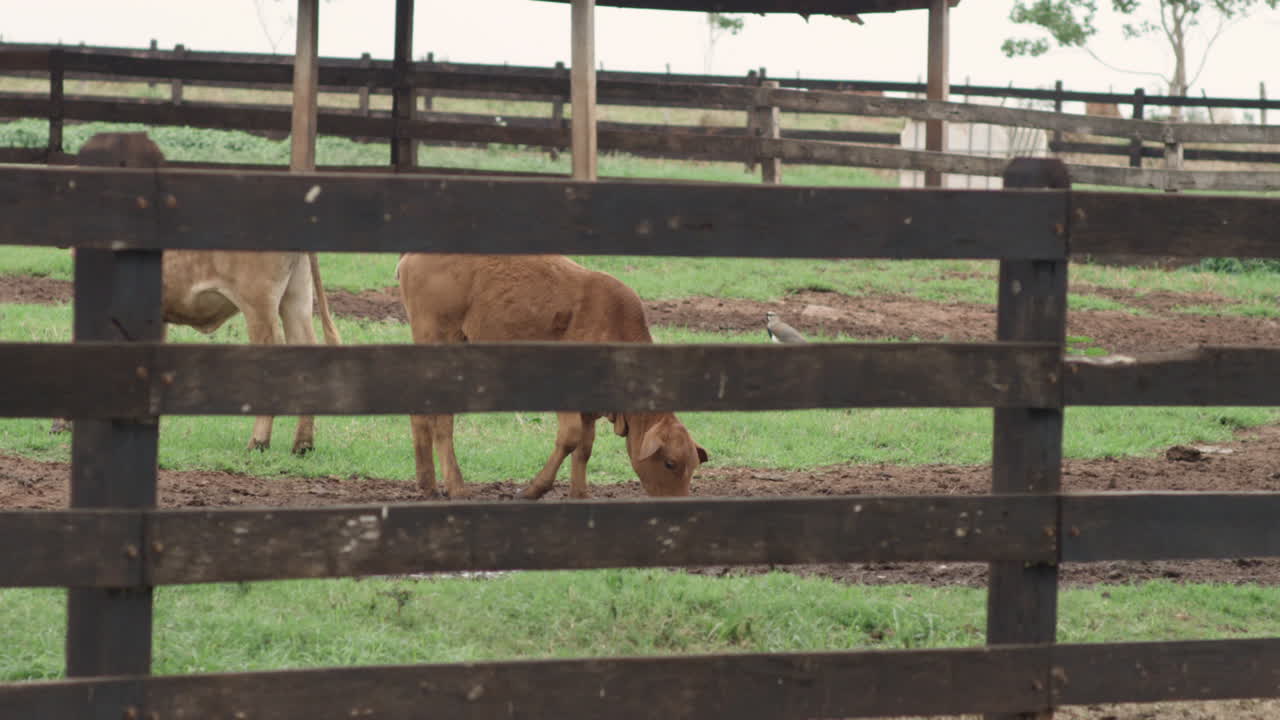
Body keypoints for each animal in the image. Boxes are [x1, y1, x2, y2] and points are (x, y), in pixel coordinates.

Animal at [395, 254, 708, 500]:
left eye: (693, 467)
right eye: (670, 463)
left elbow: (584, 447)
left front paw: (580, 495)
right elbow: (570, 439)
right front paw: (532, 490)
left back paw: (427, 485)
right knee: (442, 421)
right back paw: (456, 488)